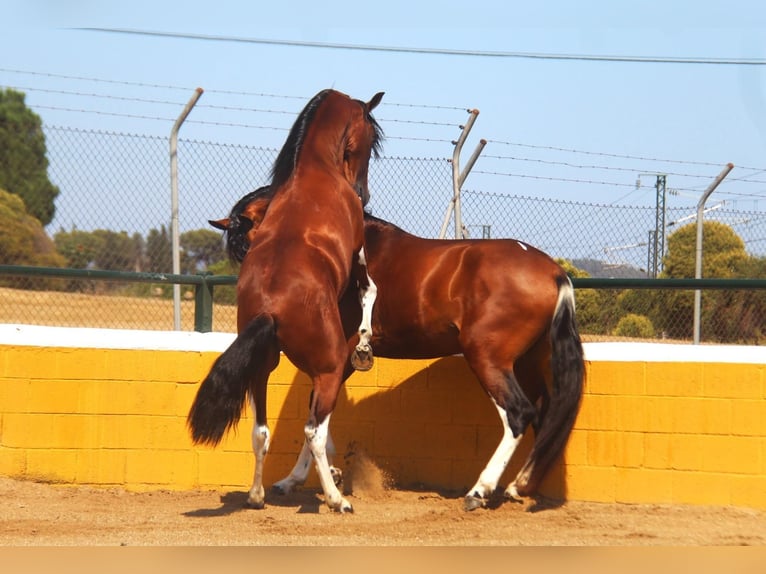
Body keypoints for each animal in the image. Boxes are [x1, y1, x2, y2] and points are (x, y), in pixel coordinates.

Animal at [190, 89, 388, 512]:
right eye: (370, 139)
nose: (363, 194)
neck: (314, 170)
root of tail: (270, 311)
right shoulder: (357, 248)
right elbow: (369, 290)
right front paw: (365, 341)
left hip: (261, 371)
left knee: (261, 431)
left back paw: (257, 495)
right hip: (328, 369)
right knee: (313, 429)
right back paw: (335, 498)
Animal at [213, 186, 584, 512]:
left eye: (255, 243)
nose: (262, 305)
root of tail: (554, 272)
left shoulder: (339, 360)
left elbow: (316, 420)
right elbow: (317, 419)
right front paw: (302, 478)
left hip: (488, 360)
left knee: (519, 414)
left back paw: (479, 491)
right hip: (526, 364)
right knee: (544, 416)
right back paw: (519, 486)